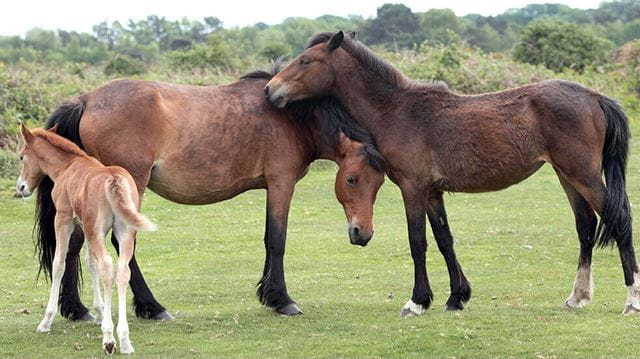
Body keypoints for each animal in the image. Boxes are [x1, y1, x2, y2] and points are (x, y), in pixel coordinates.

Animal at [17, 124, 156, 354]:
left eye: (21, 156)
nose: (21, 188)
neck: (67, 167)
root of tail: (114, 180)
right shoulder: (85, 226)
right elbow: (90, 262)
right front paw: (99, 312)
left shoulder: (64, 219)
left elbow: (59, 263)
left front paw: (46, 321)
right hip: (123, 231)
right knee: (121, 270)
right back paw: (124, 339)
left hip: (95, 229)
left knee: (107, 266)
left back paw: (109, 338)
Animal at [36, 65, 384, 320]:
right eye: (351, 179)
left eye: (379, 183)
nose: (362, 233)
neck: (291, 117)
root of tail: (86, 101)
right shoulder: (281, 183)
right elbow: (277, 239)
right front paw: (281, 299)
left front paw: (269, 295)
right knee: (121, 242)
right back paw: (153, 307)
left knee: (73, 243)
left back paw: (76, 309)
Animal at [264, 31, 640, 318]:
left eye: (305, 61)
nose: (270, 90)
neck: (399, 111)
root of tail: (594, 96)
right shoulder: (433, 192)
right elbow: (445, 240)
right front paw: (457, 297)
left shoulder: (412, 188)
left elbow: (418, 242)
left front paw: (416, 302)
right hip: (567, 176)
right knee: (586, 227)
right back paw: (577, 297)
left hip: (583, 175)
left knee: (619, 219)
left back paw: (631, 300)